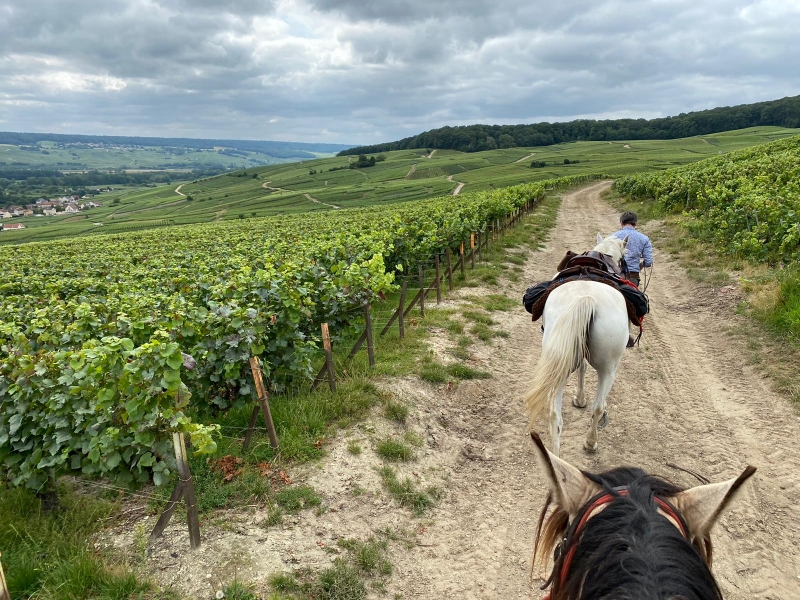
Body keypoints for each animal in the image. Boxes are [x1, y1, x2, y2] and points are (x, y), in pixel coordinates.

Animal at [524, 234, 632, 454]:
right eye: (624, 258)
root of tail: (586, 298)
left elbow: (581, 369)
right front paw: (581, 401)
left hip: (559, 365)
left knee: (555, 417)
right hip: (608, 369)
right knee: (597, 407)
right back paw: (590, 442)